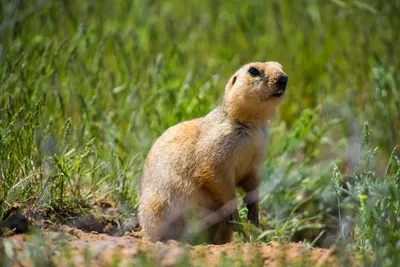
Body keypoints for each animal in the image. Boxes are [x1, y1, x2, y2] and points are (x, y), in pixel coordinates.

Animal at [138, 61, 288, 245]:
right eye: (253, 70)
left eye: (280, 66)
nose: (284, 78)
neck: (254, 125)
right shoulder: (219, 142)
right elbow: (214, 173)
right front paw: (236, 216)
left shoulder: (258, 154)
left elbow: (252, 181)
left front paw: (254, 216)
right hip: (156, 207)